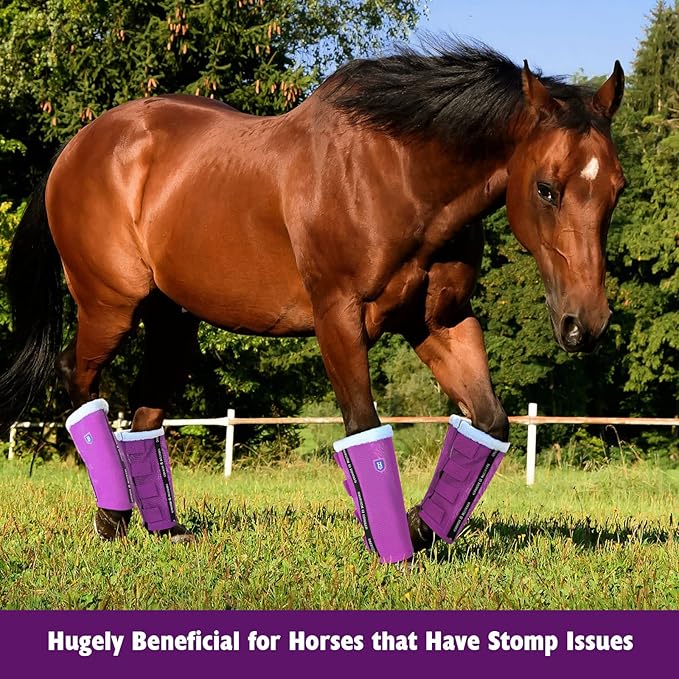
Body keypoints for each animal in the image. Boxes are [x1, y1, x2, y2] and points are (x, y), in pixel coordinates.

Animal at [0, 41, 625, 556]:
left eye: (616, 189)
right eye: (546, 188)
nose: (585, 324)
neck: (397, 175)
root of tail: (77, 147)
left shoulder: (441, 322)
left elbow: (489, 422)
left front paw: (423, 527)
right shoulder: (339, 319)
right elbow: (364, 429)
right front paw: (395, 549)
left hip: (172, 320)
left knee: (146, 412)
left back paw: (165, 530)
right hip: (110, 306)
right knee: (79, 382)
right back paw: (111, 516)